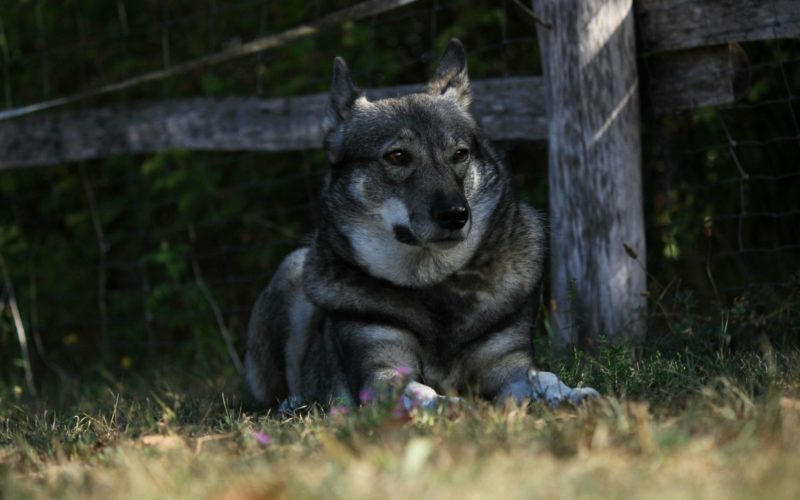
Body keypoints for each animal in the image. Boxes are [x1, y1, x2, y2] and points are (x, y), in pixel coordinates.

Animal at [247, 39, 596, 412]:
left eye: (460, 154)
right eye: (397, 156)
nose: (455, 215)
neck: (434, 283)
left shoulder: (508, 365)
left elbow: (543, 378)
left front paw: (569, 394)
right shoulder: (382, 372)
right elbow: (423, 393)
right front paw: (456, 407)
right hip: (292, 271)